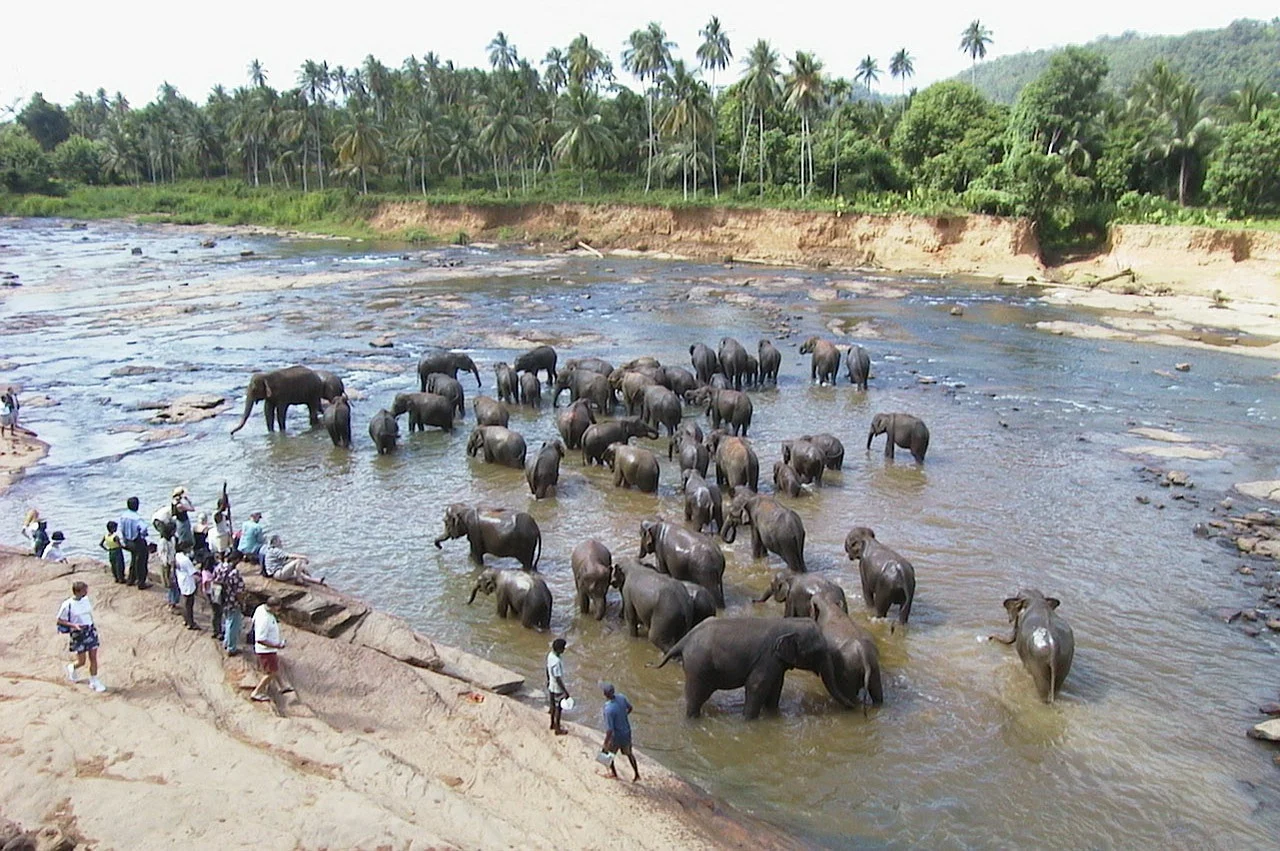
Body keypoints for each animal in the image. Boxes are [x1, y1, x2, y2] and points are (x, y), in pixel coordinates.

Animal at [655, 616, 855, 716]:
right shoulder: (767, 658)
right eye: (818, 651)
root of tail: (683, 641)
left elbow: (776, 687)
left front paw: (773, 714)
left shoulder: (775, 662)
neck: (786, 623)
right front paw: (749, 719)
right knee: (696, 696)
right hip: (699, 667)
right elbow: (757, 686)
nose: (855, 706)